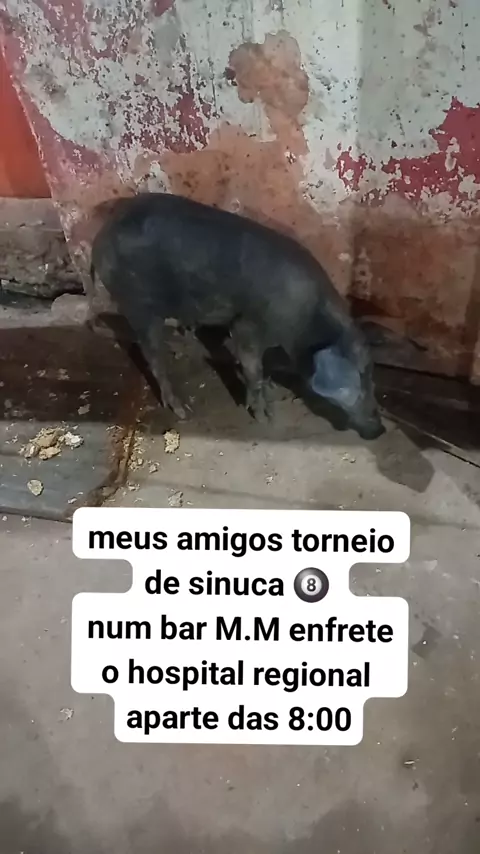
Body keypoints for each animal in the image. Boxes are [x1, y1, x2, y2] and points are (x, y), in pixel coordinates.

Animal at [90, 192, 384, 439]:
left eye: (372, 374)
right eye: (358, 382)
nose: (380, 429)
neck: (305, 322)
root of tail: (101, 235)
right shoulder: (247, 325)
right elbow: (252, 368)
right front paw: (266, 418)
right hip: (137, 304)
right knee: (153, 356)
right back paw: (184, 411)